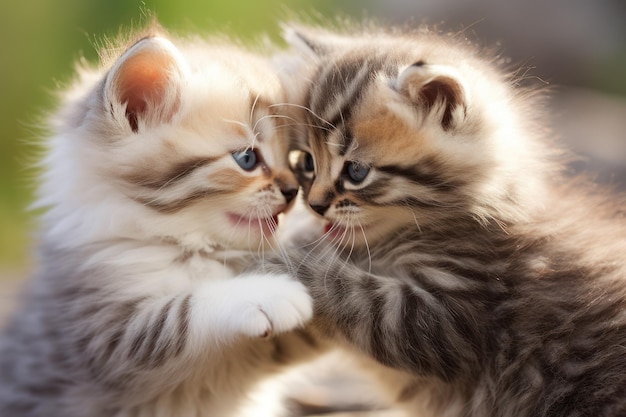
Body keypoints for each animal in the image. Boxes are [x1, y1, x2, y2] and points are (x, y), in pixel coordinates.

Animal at [0, 24, 320, 414]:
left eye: (294, 160)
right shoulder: (101, 337)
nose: (292, 192)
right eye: (247, 158)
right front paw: (267, 292)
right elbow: (182, 311)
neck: (188, 245)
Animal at [264, 24, 624, 414]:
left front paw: (279, 258)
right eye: (306, 162)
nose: (314, 205)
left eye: (356, 172)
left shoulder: (452, 311)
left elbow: (348, 290)